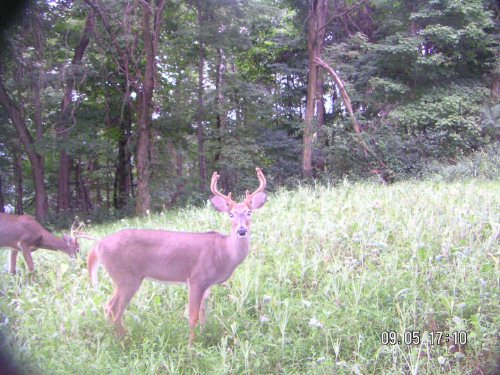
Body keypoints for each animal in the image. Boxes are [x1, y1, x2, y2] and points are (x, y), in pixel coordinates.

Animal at [88, 167, 268, 344]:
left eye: (249, 212)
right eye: (231, 214)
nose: (242, 231)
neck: (224, 252)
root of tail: (98, 245)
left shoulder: (207, 284)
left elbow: (204, 315)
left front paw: (204, 337)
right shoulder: (196, 278)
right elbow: (193, 316)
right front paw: (191, 346)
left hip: (122, 278)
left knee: (109, 308)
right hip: (127, 276)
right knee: (113, 310)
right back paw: (125, 342)